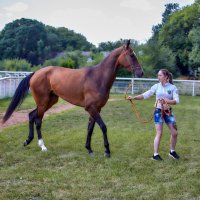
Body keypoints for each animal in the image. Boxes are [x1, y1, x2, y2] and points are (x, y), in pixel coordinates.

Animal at [2, 39, 144, 157]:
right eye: (131, 55)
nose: (141, 73)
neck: (98, 78)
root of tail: (36, 73)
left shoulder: (96, 109)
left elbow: (90, 128)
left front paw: (89, 149)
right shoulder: (91, 108)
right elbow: (103, 127)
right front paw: (107, 151)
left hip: (50, 101)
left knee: (31, 115)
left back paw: (27, 141)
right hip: (42, 102)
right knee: (38, 120)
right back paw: (42, 146)